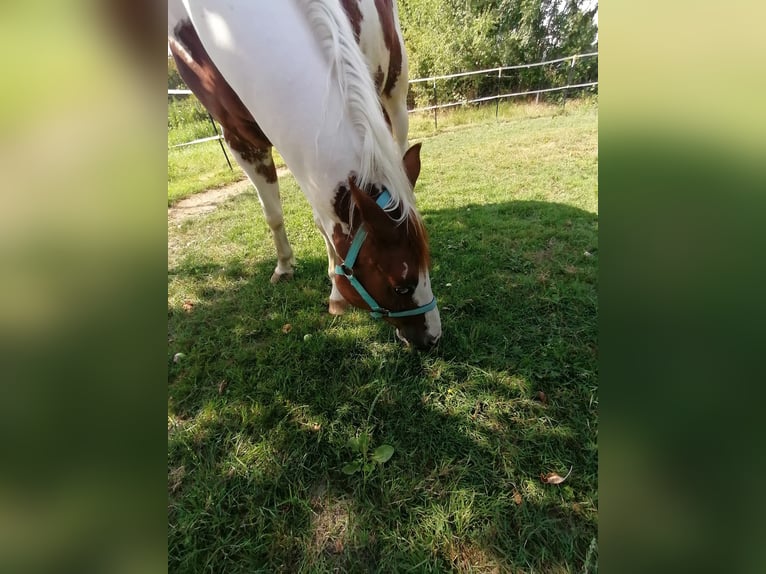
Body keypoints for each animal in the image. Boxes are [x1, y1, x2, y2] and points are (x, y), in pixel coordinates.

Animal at [168, 0, 441, 350]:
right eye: (401, 286)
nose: (433, 337)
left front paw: (333, 289)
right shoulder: (238, 137)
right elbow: (279, 215)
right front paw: (289, 268)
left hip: (394, 87)